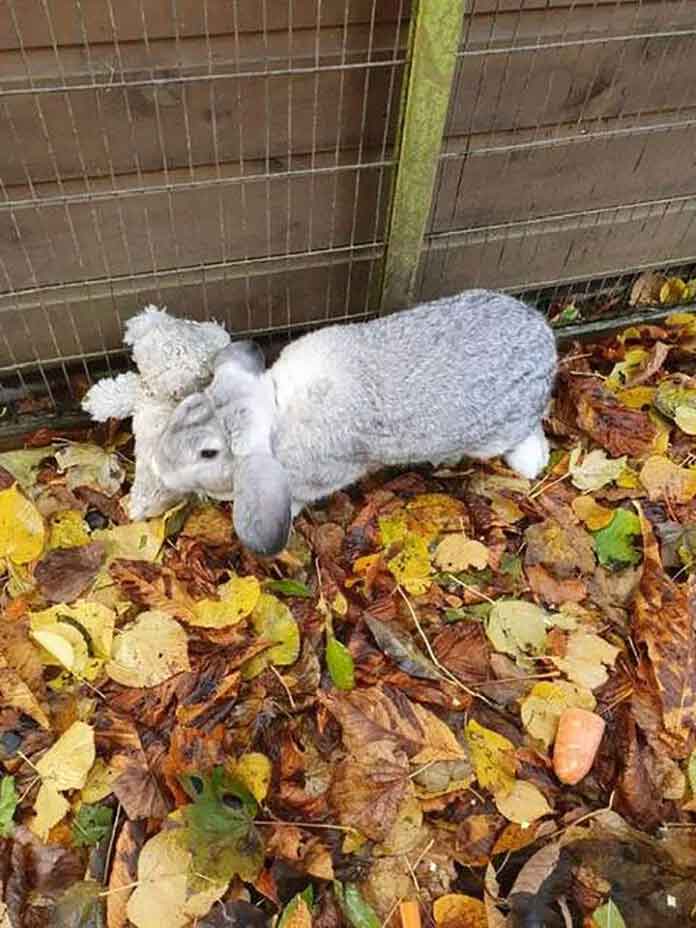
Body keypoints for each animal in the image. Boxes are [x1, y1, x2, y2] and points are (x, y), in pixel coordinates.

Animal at [151, 290, 556, 556]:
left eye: (208, 453)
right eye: (187, 405)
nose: (157, 464)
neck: (276, 409)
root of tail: (547, 341)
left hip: (498, 432)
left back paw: (529, 461)